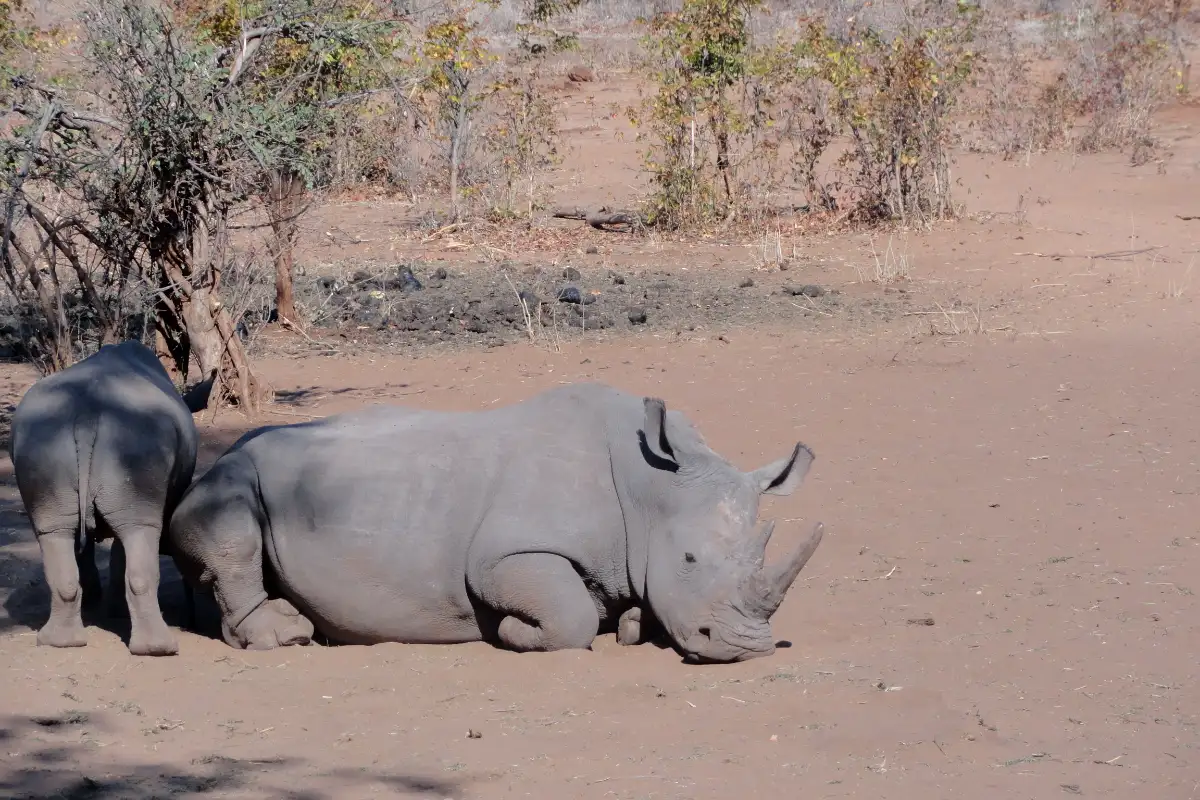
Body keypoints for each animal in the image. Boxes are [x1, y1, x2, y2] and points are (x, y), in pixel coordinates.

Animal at [9, 340, 215, 655]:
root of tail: (86, 416)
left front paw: (95, 603)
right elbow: (120, 550)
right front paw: (113, 611)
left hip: (42, 439)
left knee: (54, 531)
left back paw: (60, 642)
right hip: (136, 441)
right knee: (138, 531)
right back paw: (159, 648)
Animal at [167, 383, 825, 663]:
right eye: (688, 560)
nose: (748, 648)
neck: (651, 490)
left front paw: (635, 622)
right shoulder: (505, 557)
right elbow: (570, 617)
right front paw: (513, 633)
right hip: (231, 472)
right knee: (229, 534)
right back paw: (290, 634)